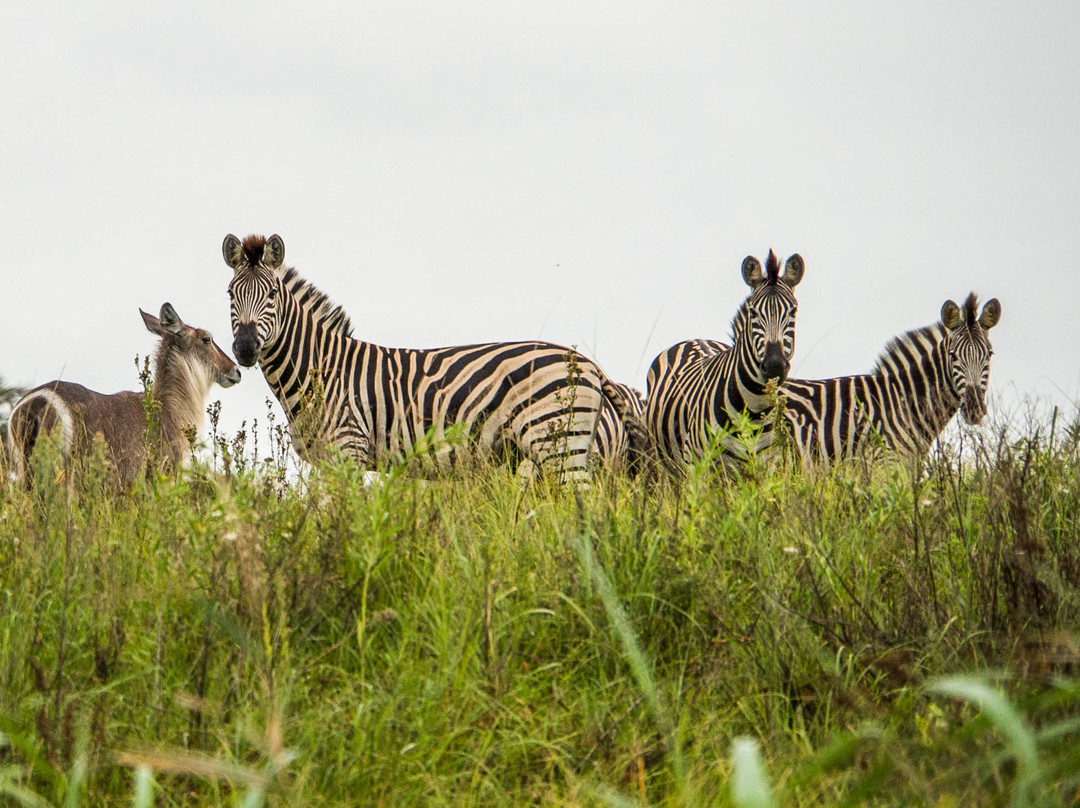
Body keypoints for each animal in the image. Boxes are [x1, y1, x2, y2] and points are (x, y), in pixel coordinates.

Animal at [221, 236, 639, 483]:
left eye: (272, 294)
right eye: (230, 293)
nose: (245, 348)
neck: (319, 371)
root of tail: (590, 365)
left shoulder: (348, 451)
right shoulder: (326, 461)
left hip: (560, 445)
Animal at [643, 249, 807, 470]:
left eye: (793, 311)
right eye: (753, 312)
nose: (774, 366)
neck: (754, 409)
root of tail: (694, 339)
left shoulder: (769, 465)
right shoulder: (698, 465)